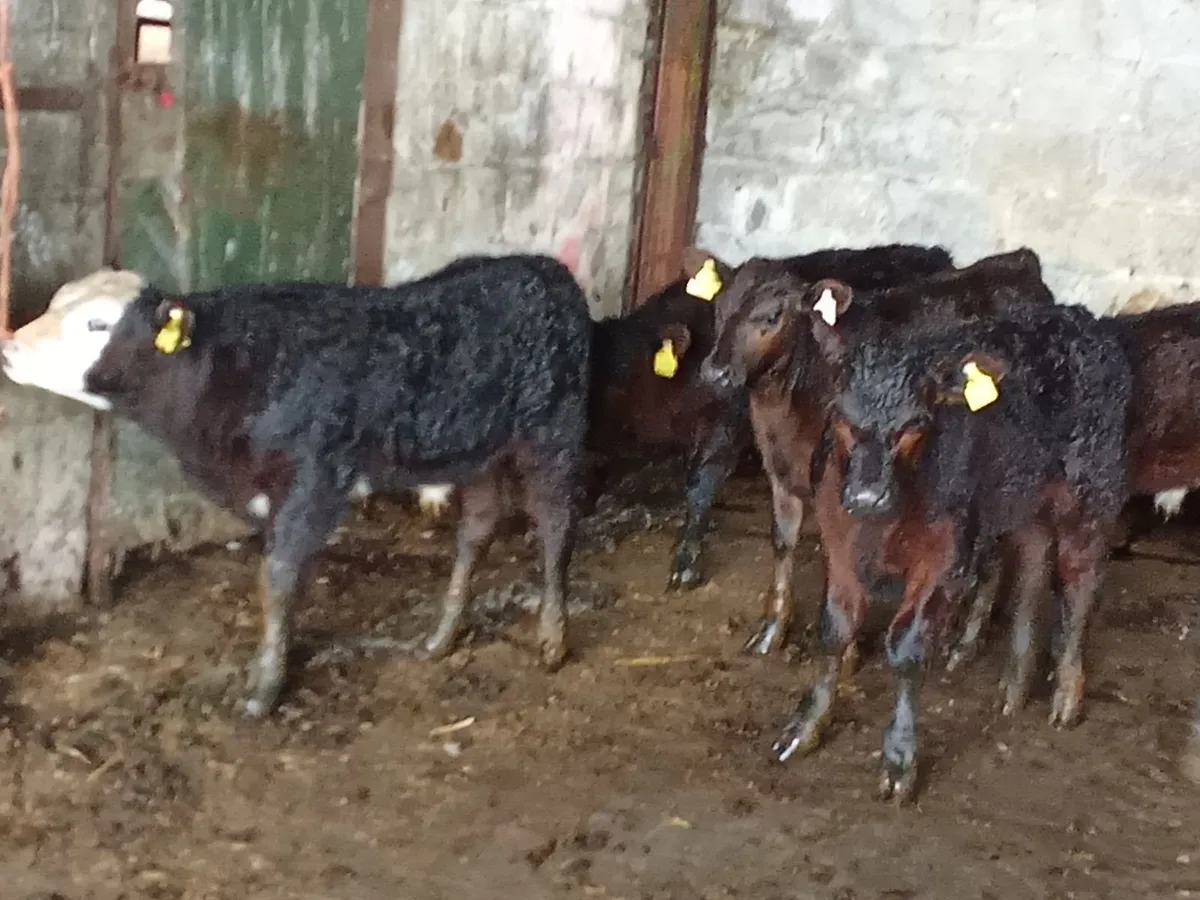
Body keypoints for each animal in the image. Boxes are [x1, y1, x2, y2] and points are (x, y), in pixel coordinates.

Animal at [1, 254, 592, 717]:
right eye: (55, 301)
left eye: (98, 324)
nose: (9, 349)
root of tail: (542, 268)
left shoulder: (314, 480)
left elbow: (278, 580)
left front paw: (265, 689)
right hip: (480, 450)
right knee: (477, 528)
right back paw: (440, 639)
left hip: (553, 430)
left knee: (556, 523)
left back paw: (552, 638)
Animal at [698, 248, 1055, 657]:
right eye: (719, 307)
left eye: (773, 316)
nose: (715, 372)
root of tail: (1018, 262)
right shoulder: (781, 473)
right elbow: (783, 542)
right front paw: (771, 631)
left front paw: (844, 648)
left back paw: (965, 643)